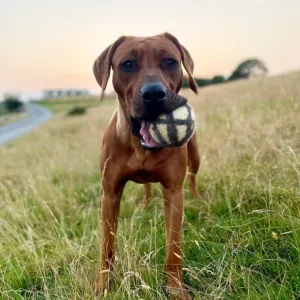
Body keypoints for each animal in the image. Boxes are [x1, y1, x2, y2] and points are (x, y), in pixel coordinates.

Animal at [92, 31, 200, 298]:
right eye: (127, 64)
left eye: (170, 61)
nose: (153, 94)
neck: (141, 147)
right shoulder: (109, 193)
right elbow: (107, 245)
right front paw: (103, 285)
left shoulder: (173, 192)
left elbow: (174, 247)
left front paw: (176, 288)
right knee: (146, 186)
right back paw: (145, 203)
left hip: (195, 156)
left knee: (193, 178)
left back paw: (198, 199)